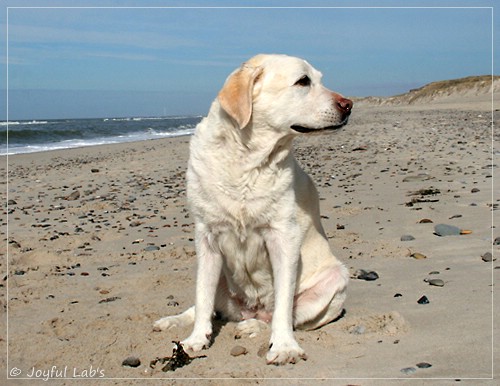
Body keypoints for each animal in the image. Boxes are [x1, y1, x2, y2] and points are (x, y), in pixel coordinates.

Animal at [154, 53, 354, 364]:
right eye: (303, 81)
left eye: (319, 80)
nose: (348, 105)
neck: (246, 160)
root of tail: (250, 308)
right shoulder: (207, 237)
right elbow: (202, 297)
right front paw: (195, 340)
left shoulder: (283, 237)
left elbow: (283, 304)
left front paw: (284, 346)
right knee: (204, 305)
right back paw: (174, 321)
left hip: (336, 279)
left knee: (278, 315)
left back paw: (251, 326)